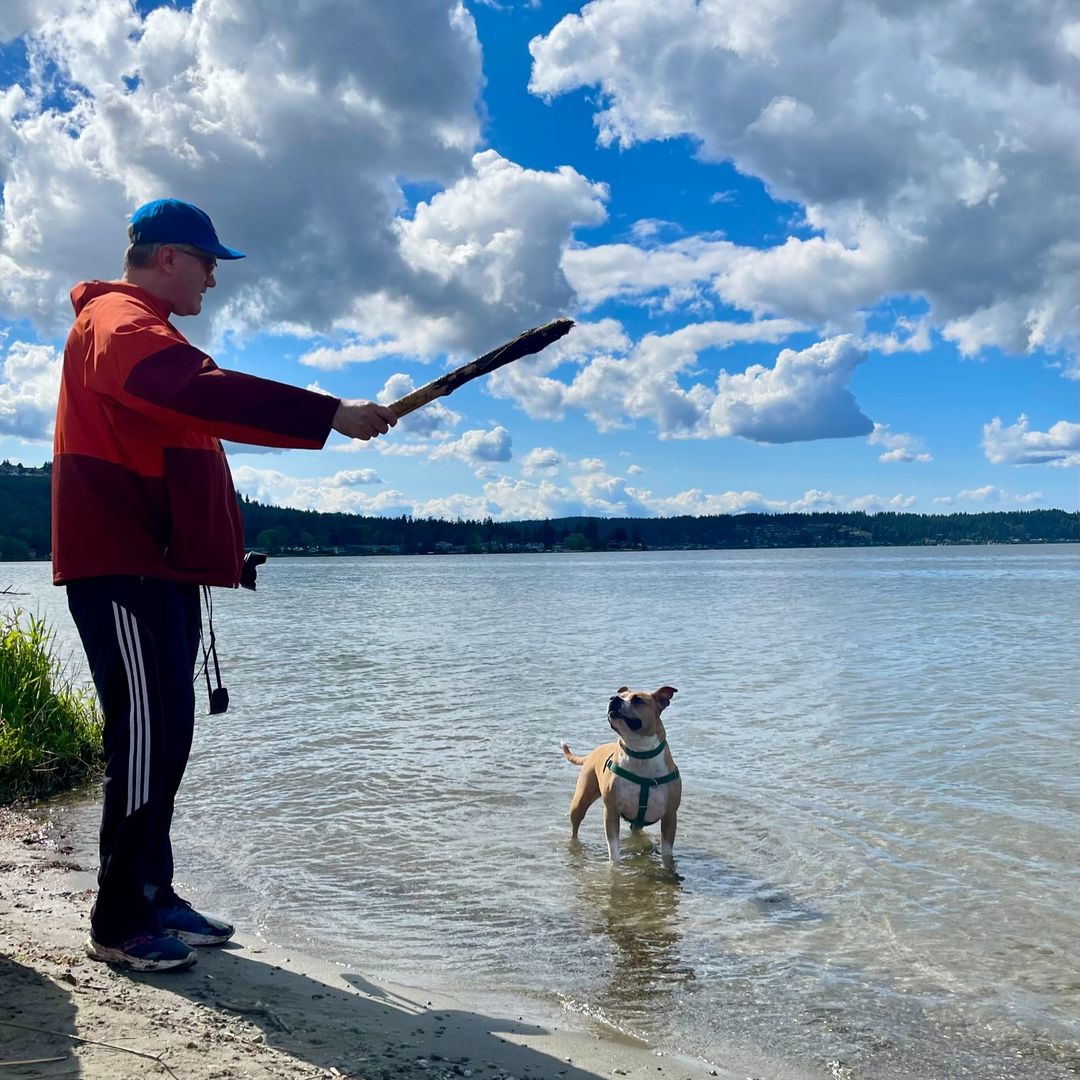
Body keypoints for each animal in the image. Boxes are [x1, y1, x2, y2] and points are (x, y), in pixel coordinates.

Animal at [561, 682, 678, 868]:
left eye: (637, 700)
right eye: (621, 695)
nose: (613, 698)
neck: (639, 752)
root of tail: (594, 750)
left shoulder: (670, 816)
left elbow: (667, 854)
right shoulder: (611, 812)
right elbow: (614, 850)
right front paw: (615, 869)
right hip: (579, 802)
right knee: (575, 827)